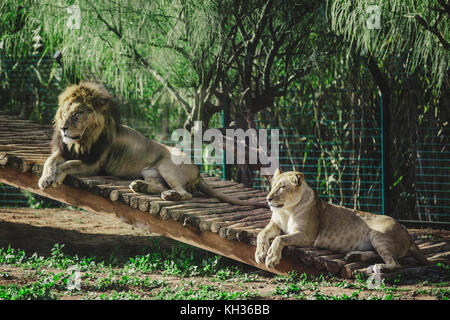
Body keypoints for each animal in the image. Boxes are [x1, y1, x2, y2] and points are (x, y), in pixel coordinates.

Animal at [38, 81, 268, 209]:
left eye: (77, 113)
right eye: (64, 112)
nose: (63, 129)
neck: (82, 140)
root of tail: (198, 170)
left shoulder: (94, 164)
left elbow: (68, 165)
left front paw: (55, 178)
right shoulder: (64, 151)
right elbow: (50, 161)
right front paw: (45, 179)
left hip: (168, 166)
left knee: (185, 193)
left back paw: (170, 195)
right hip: (150, 171)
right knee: (159, 186)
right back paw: (141, 186)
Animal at [255, 168, 430, 272]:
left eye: (281, 187)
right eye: (272, 186)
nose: (268, 199)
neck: (286, 210)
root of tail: (407, 232)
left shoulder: (307, 236)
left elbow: (279, 239)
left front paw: (271, 258)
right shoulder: (275, 225)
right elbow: (261, 235)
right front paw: (260, 254)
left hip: (379, 235)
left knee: (395, 264)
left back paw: (377, 266)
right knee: (376, 254)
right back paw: (354, 257)